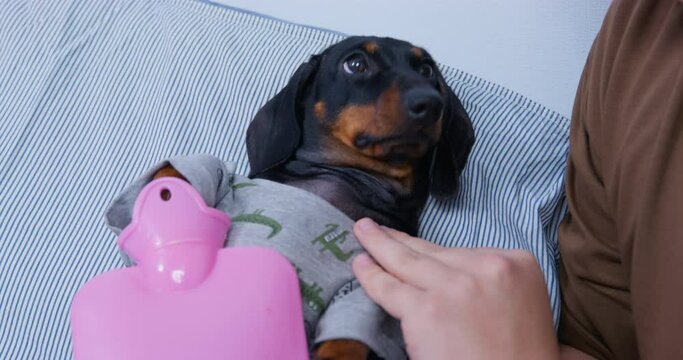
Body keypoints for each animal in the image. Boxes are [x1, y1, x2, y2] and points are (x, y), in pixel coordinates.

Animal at [157, 37, 472, 360]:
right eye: (355, 63)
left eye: (427, 70)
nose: (431, 103)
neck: (339, 180)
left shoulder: (362, 283)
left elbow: (350, 334)